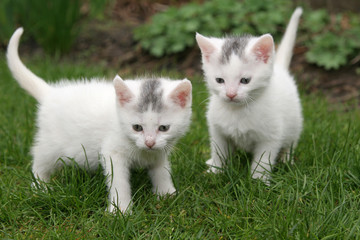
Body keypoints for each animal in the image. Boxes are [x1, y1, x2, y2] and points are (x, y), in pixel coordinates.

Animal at [7, 27, 193, 213]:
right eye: (137, 127)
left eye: (163, 128)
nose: (149, 143)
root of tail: (51, 93)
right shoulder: (113, 153)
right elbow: (119, 182)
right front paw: (121, 210)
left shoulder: (159, 151)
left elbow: (161, 170)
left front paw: (167, 194)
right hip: (52, 143)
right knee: (40, 158)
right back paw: (40, 188)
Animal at [195, 7, 302, 184]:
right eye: (219, 80)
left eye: (245, 80)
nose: (231, 94)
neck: (238, 111)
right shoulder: (217, 130)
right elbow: (219, 151)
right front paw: (215, 171)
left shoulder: (270, 136)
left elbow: (263, 160)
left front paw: (258, 181)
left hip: (294, 123)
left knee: (291, 142)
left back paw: (287, 159)